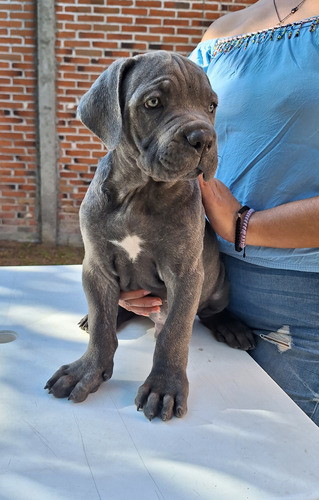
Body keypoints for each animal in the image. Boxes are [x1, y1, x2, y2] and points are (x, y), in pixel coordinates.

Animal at [45, 50, 255, 420]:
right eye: (153, 102)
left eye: (211, 106)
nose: (204, 138)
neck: (140, 192)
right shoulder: (96, 267)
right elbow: (102, 326)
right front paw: (86, 370)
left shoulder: (186, 274)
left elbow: (174, 332)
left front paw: (164, 387)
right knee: (110, 311)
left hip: (218, 282)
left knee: (210, 311)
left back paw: (232, 326)